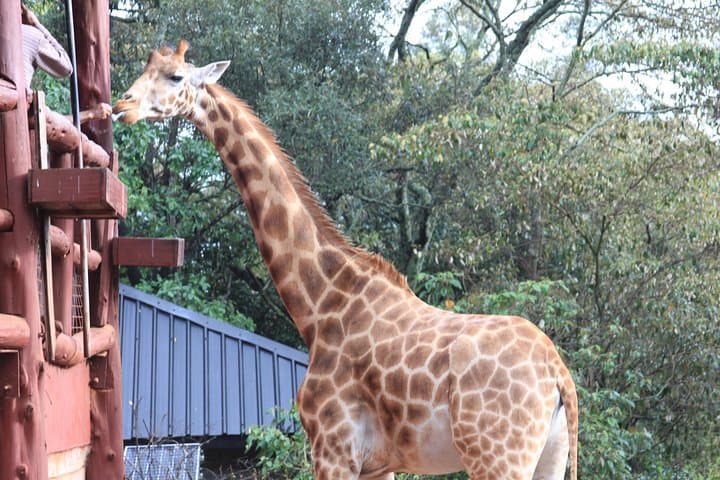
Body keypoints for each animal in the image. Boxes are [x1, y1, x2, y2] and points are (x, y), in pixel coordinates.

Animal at [113, 40, 578, 480]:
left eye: (175, 76)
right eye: (146, 68)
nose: (122, 105)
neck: (320, 303)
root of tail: (557, 373)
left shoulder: (333, 446)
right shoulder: (378, 463)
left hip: (497, 455)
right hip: (547, 457)